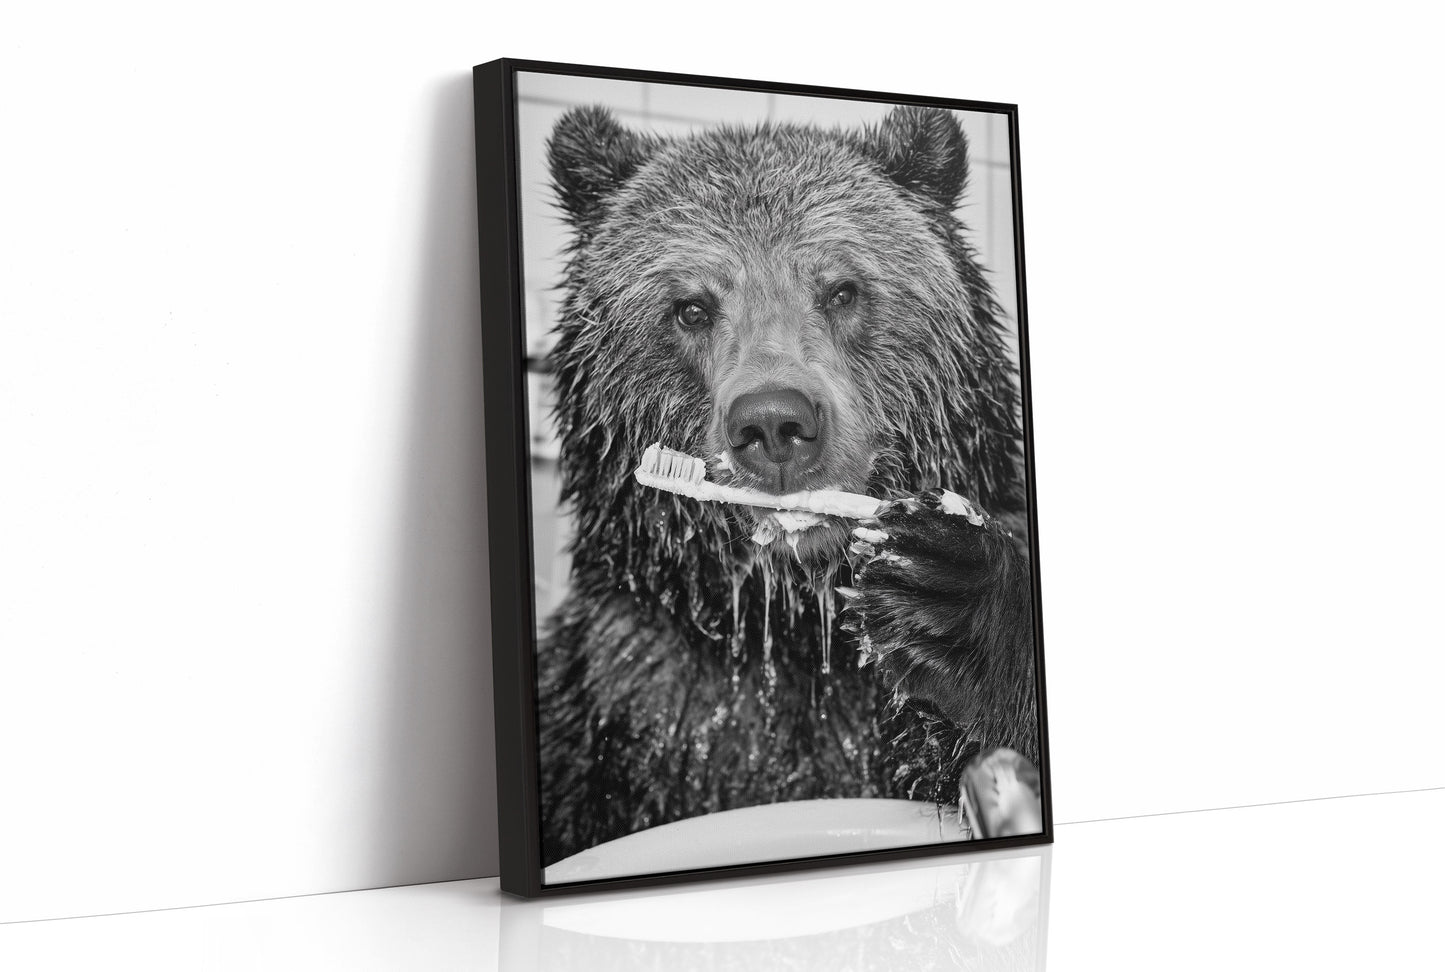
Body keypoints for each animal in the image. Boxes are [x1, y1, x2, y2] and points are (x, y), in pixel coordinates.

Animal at [536, 103, 1040, 866]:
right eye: (690, 307)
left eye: (842, 289)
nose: (774, 422)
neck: (797, 633)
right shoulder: (627, 712)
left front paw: (945, 593)